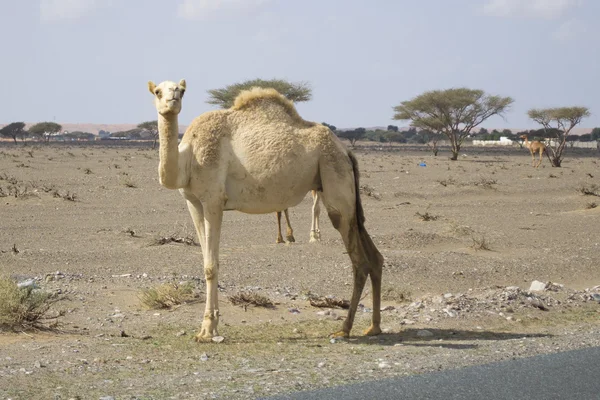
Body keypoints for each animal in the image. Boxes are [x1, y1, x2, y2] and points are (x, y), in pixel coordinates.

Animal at [147, 79, 382, 340]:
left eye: (181, 90)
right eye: (158, 91)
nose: (172, 101)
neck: (188, 157)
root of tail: (346, 151)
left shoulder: (213, 200)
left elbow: (211, 266)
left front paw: (207, 330)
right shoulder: (194, 203)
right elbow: (207, 261)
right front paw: (210, 327)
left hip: (334, 175)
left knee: (359, 260)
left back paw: (345, 329)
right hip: (341, 189)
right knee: (375, 257)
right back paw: (374, 326)